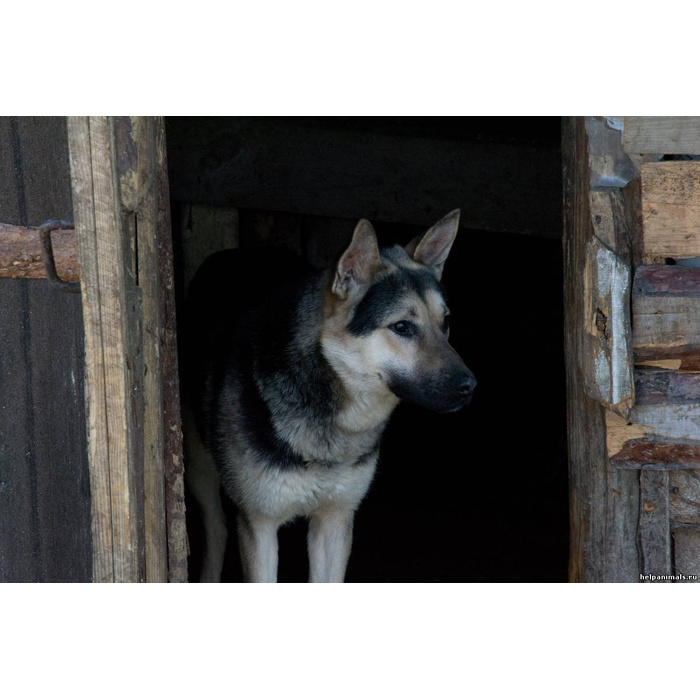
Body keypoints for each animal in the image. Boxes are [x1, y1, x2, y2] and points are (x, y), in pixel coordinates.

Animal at [182, 211, 476, 584]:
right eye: (402, 327)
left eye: (446, 322)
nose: (470, 385)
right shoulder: (260, 523)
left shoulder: (336, 521)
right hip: (198, 466)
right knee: (217, 529)